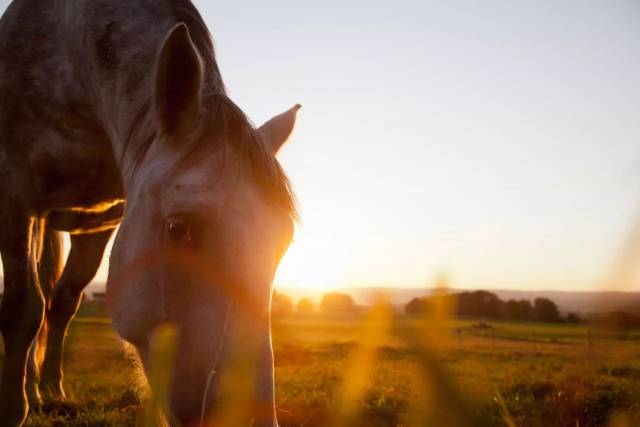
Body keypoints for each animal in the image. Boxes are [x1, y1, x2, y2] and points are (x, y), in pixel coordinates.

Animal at [0, 1, 300, 426]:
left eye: (282, 241)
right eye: (178, 229)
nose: (243, 416)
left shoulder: (102, 223)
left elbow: (62, 303)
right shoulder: (14, 191)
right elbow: (22, 309)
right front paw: (12, 408)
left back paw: (47, 389)